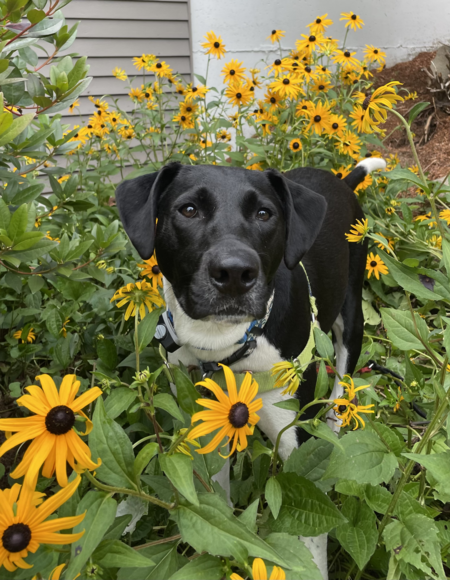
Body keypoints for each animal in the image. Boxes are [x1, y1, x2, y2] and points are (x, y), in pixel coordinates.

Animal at [117, 159, 386, 580]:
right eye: (188, 210)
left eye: (264, 214)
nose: (234, 272)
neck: (225, 345)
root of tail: (340, 180)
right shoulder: (205, 422)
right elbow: (219, 501)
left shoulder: (297, 450)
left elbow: (311, 535)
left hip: (351, 312)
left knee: (343, 375)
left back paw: (334, 418)